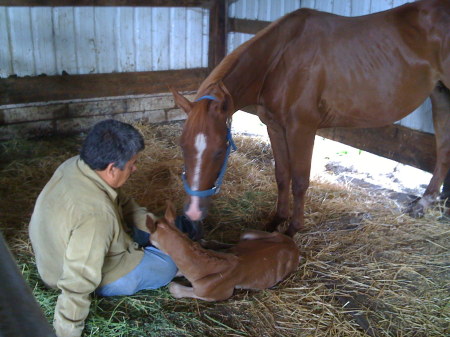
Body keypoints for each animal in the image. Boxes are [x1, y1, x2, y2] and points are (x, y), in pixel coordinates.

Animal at [149, 201, 302, 300]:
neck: (200, 269)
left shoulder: (218, 294)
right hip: (250, 234)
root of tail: (293, 245)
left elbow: (173, 287)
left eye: (151, 238)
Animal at [171, 0, 448, 235]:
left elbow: (300, 180)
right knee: (443, 148)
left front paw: (293, 229)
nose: (192, 212)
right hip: (439, 94)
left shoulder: (301, 129)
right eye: (182, 146)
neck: (280, 59)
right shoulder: (274, 126)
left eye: (220, 150)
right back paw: (424, 203)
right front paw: (276, 220)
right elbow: (282, 175)